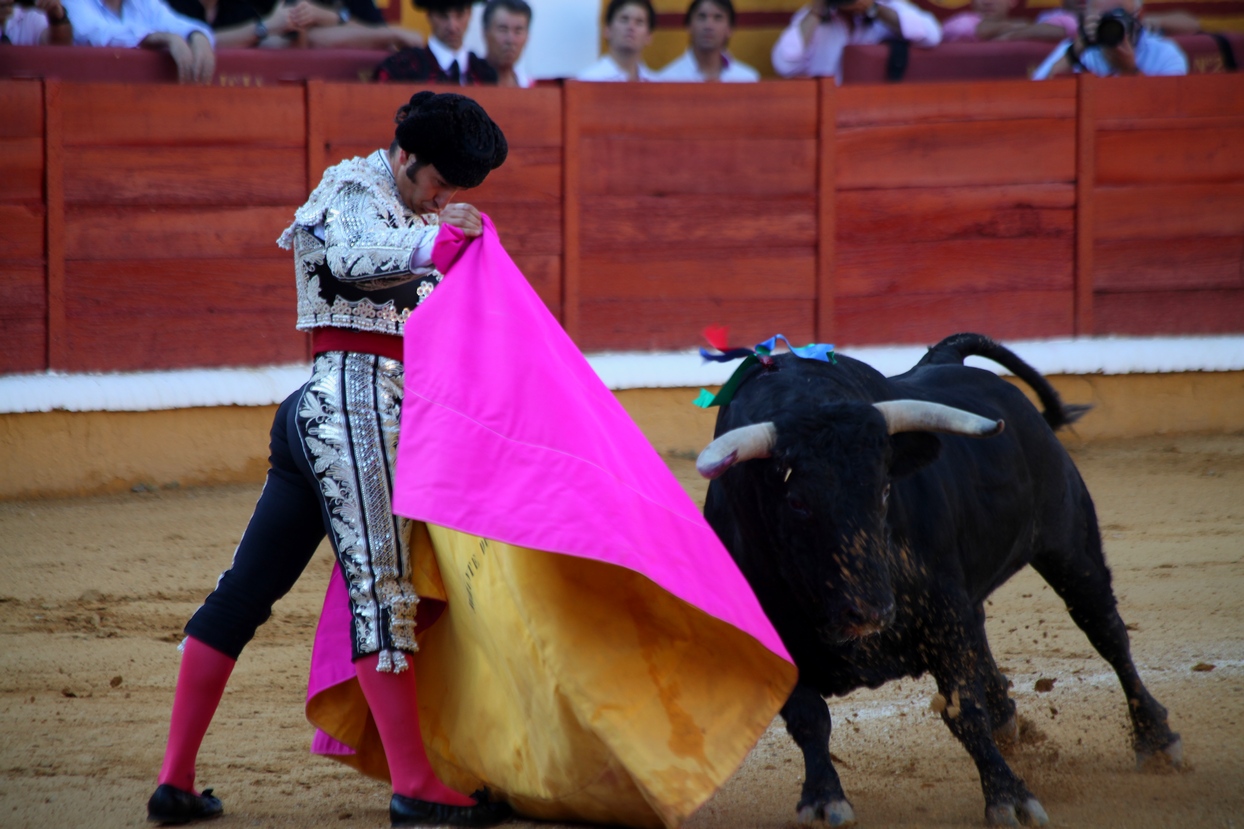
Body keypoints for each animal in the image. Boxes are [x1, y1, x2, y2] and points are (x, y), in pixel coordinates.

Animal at [706, 333, 1179, 821]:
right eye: (797, 502)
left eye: (885, 489)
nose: (872, 611)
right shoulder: (772, 644)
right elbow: (809, 719)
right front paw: (823, 800)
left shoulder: (943, 614)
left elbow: (962, 710)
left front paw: (1009, 798)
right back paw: (1007, 716)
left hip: (1069, 543)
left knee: (1106, 631)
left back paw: (1155, 740)